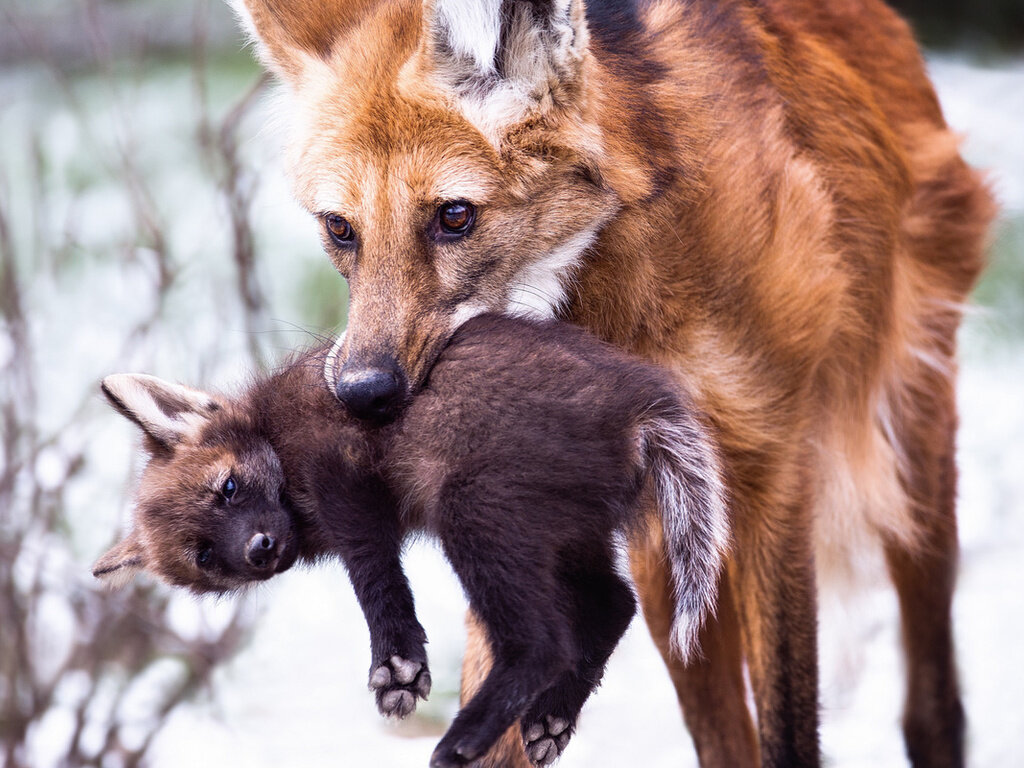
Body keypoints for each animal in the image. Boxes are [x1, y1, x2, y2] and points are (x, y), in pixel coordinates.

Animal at [94, 313, 729, 768]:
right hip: (561, 533)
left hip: (475, 511)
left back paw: (465, 738)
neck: (275, 426)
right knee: (615, 603)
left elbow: (373, 575)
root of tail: (639, 404)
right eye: (204, 556)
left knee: (547, 642)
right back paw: (552, 720)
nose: (259, 550)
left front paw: (397, 663)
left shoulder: (344, 478)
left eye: (227, 488)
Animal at [230, 1, 991, 765]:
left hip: (907, 451)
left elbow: (789, 729)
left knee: (931, 698)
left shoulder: (772, 474)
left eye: (454, 216)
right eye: (340, 229)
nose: (362, 391)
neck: (619, 294)